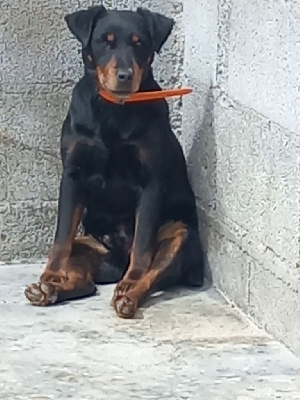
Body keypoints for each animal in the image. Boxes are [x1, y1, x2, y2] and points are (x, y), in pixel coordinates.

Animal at [24, 4, 205, 318]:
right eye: (104, 41)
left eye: (139, 43)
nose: (124, 75)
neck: (114, 112)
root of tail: (118, 262)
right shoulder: (73, 175)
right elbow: (61, 237)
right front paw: (51, 275)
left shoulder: (151, 183)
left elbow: (142, 245)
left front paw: (131, 282)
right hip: (87, 245)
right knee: (85, 281)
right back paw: (49, 289)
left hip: (178, 235)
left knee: (152, 272)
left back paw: (127, 294)